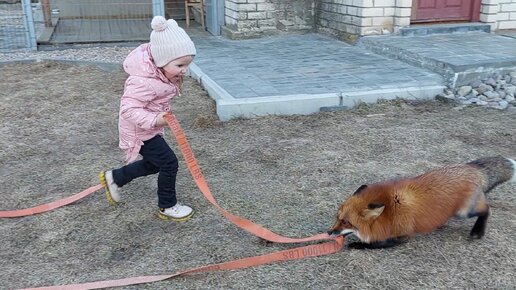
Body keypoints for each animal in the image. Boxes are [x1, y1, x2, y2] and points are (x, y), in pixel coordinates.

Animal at [328, 156, 512, 249]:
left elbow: (378, 243)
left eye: (346, 222)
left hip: (464, 212)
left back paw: (478, 231)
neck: (391, 210)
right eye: (337, 218)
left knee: (487, 209)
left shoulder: (402, 235)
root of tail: (471, 168)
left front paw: (358, 245)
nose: (329, 233)